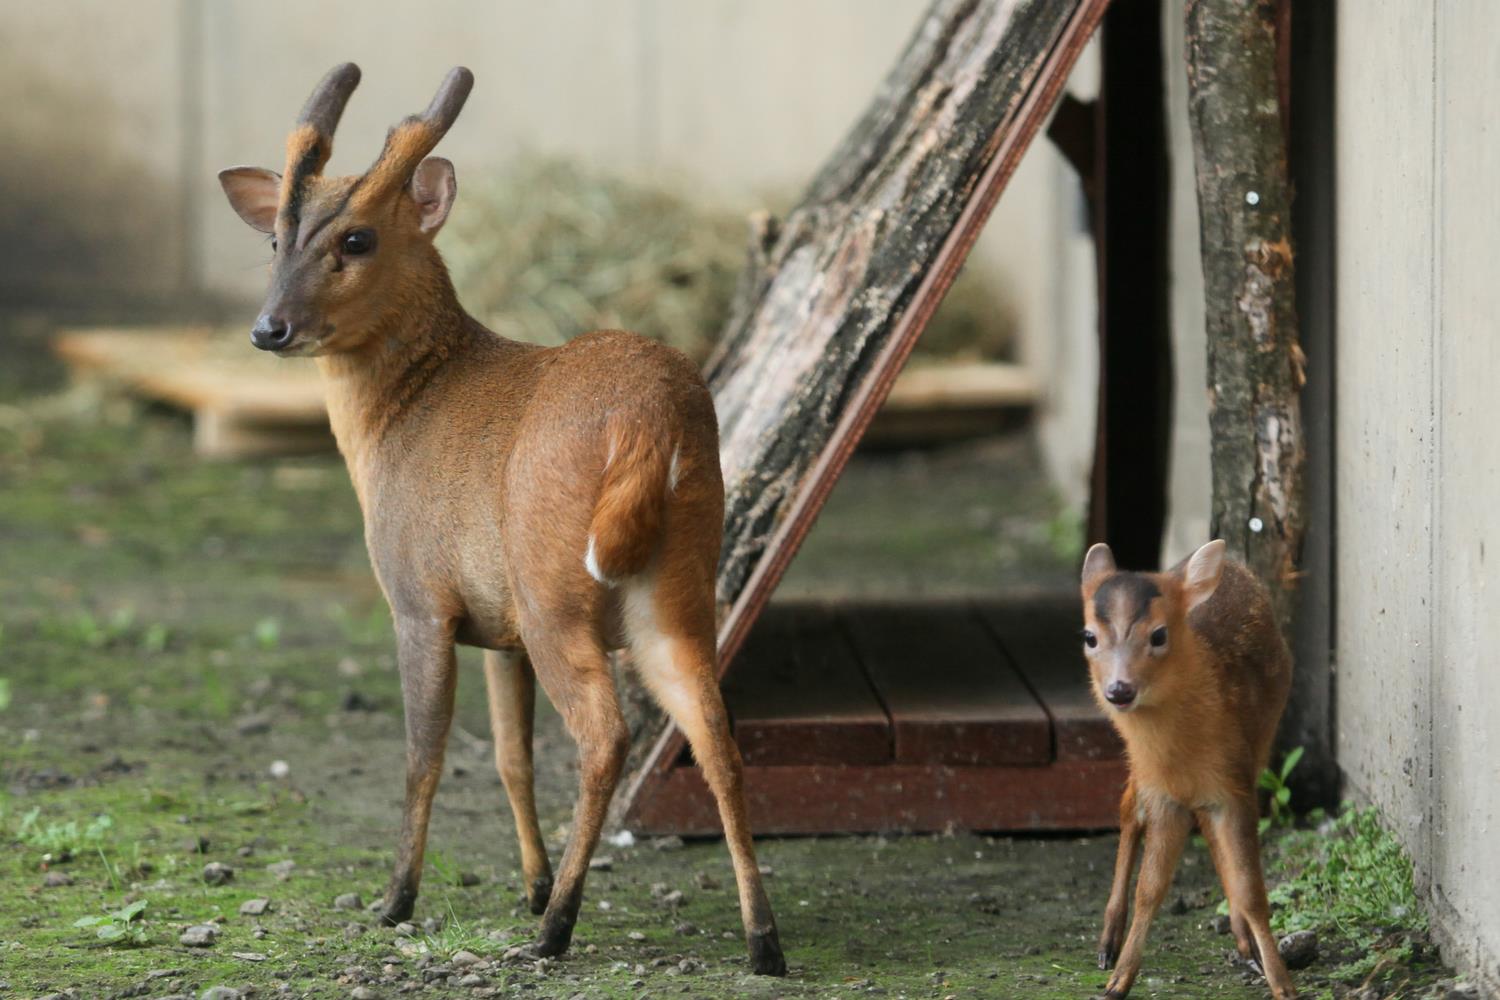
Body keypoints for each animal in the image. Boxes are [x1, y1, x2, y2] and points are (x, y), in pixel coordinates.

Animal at [220, 64, 792, 977]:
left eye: (357, 240)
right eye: (276, 239)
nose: (268, 329)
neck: (401, 418)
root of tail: (652, 425)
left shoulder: (419, 598)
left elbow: (425, 752)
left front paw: (397, 899)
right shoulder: (499, 628)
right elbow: (509, 755)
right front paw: (527, 880)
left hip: (556, 585)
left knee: (604, 735)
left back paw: (557, 930)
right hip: (678, 586)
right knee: (716, 733)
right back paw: (761, 941)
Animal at [1080, 542, 1302, 995]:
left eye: (1159, 635)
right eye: (1089, 636)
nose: (1119, 690)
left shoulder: (1234, 783)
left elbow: (1253, 890)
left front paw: (1281, 983)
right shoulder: (1163, 795)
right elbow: (1151, 889)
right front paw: (1118, 982)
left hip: (1259, 746)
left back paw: (1243, 939)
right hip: (1143, 773)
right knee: (1128, 806)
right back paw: (1107, 941)